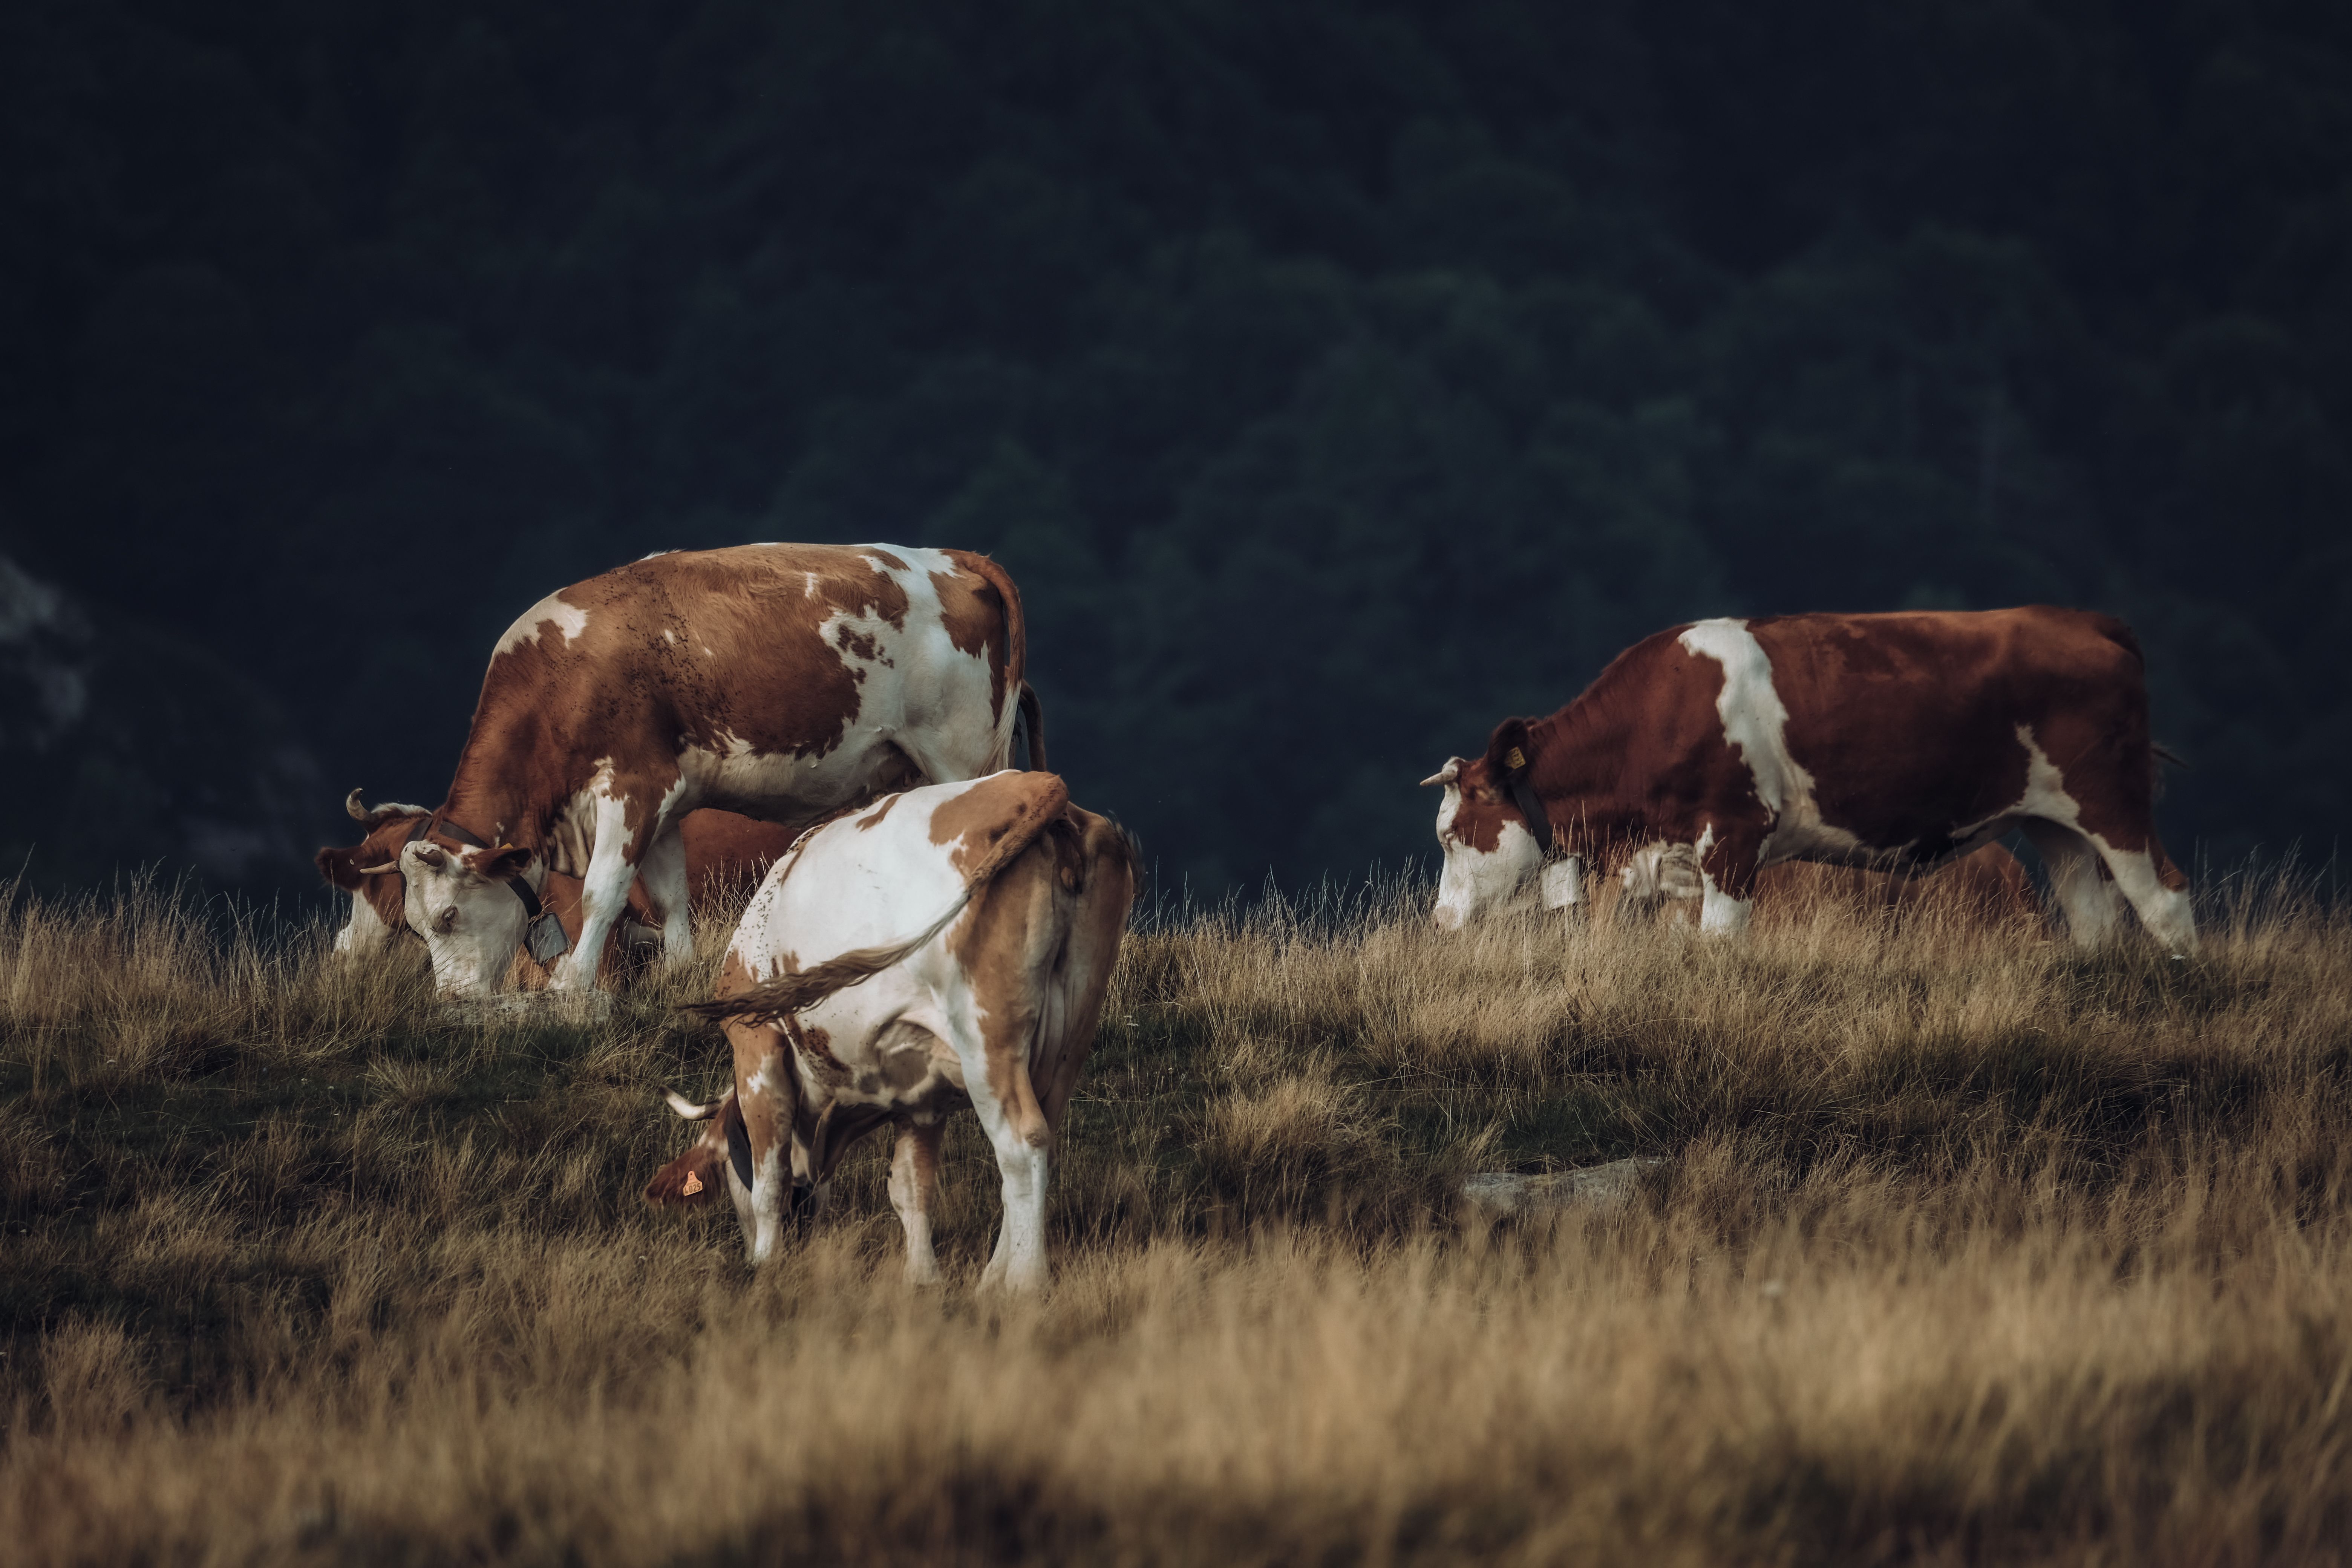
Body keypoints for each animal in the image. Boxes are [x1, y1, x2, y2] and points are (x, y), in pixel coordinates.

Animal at [373, 544, 1045, 998]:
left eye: (448, 916)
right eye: (415, 929)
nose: (454, 1004)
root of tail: (950, 557)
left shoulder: (632, 787)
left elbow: (601, 893)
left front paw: (574, 989)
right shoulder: (667, 802)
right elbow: (670, 894)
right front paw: (676, 974)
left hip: (957, 752)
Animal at [643, 772, 1137, 1294]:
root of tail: (1031, 782)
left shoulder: (758, 1049)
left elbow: (770, 1179)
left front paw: (764, 1263)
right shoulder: (921, 1094)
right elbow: (910, 1188)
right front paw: (923, 1278)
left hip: (986, 1038)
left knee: (1023, 1144)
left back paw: (1024, 1282)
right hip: (1071, 1034)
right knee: (1043, 1143)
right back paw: (991, 1278)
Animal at [1422, 608, 2196, 955]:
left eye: (1455, 834)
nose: (1440, 923)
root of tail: (2082, 621)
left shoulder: (1734, 837)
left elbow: (1722, 944)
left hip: (2112, 804)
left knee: (2165, 900)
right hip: (2054, 825)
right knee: (2095, 924)